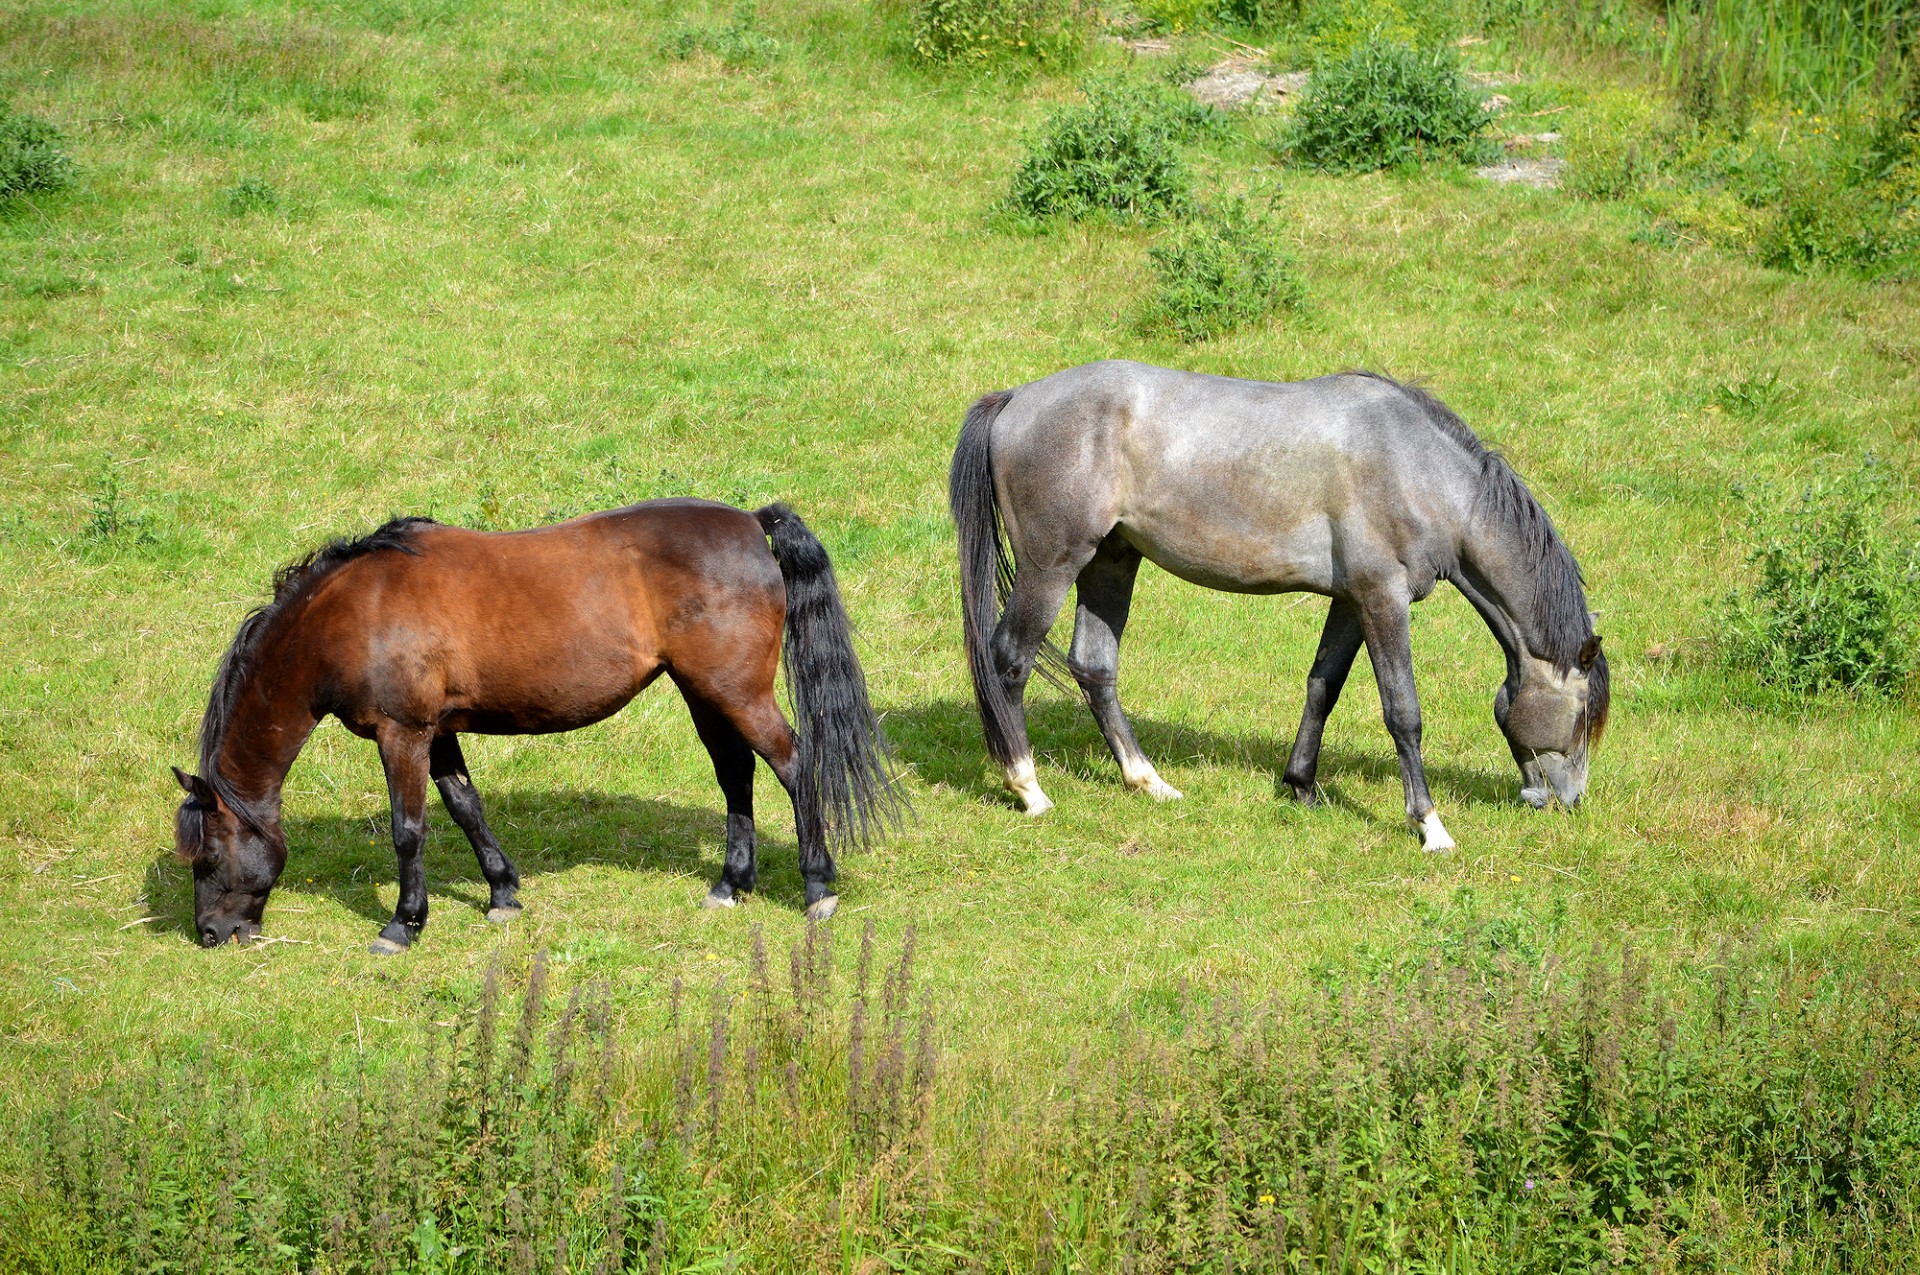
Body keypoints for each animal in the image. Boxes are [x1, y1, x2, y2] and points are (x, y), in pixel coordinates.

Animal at [172, 503, 906, 952]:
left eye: (207, 856)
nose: (207, 934)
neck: (355, 611)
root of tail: (753, 524)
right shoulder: (438, 732)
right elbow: (465, 806)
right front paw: (502, 893)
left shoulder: (401, 732)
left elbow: (409, 831)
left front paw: (403, 924)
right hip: (705, 692)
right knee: (737, 775)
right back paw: (731, 883)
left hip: (737, 692)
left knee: (794, 765)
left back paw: (818, 887)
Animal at [952, 362, 1612, 852]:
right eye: (1584, 715)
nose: (1564, 801)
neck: (1417, 468)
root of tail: (1015, 401)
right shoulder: (1383, 599)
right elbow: (1403, 712)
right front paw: (1430, 826)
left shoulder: (1349, 601)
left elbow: (1323, 686)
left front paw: (1301, 786)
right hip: (1053, 567)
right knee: (1009, 659)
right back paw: (1028, 788)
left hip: (1112, 561)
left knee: (1094, 667)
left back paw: (1149, 781)